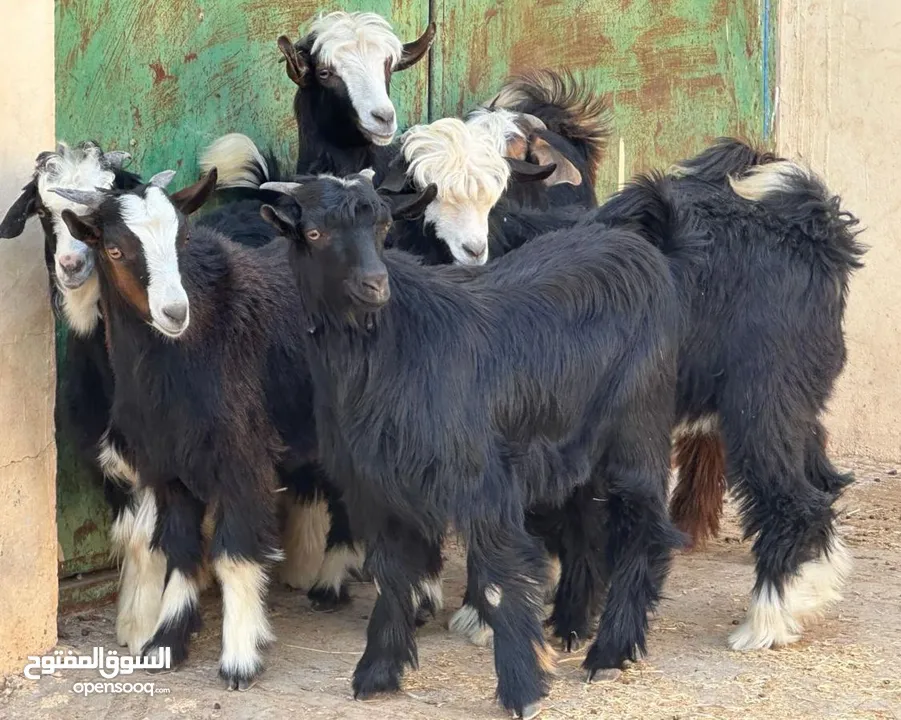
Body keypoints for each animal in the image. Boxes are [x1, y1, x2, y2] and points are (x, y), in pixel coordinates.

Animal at [258, 173, 684, 716]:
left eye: (383, 226)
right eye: (313, 234)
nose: (375, 285)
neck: (395, 347)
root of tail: (639, 249)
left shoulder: (482, 480)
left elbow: (499, 584)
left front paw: (523, 690)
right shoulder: (375, 484)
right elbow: (391, 575)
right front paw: (377, 672)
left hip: (636, 426)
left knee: (640, 528)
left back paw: (610, 651)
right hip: (572, 443)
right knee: (584, 522)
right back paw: (570, 624)